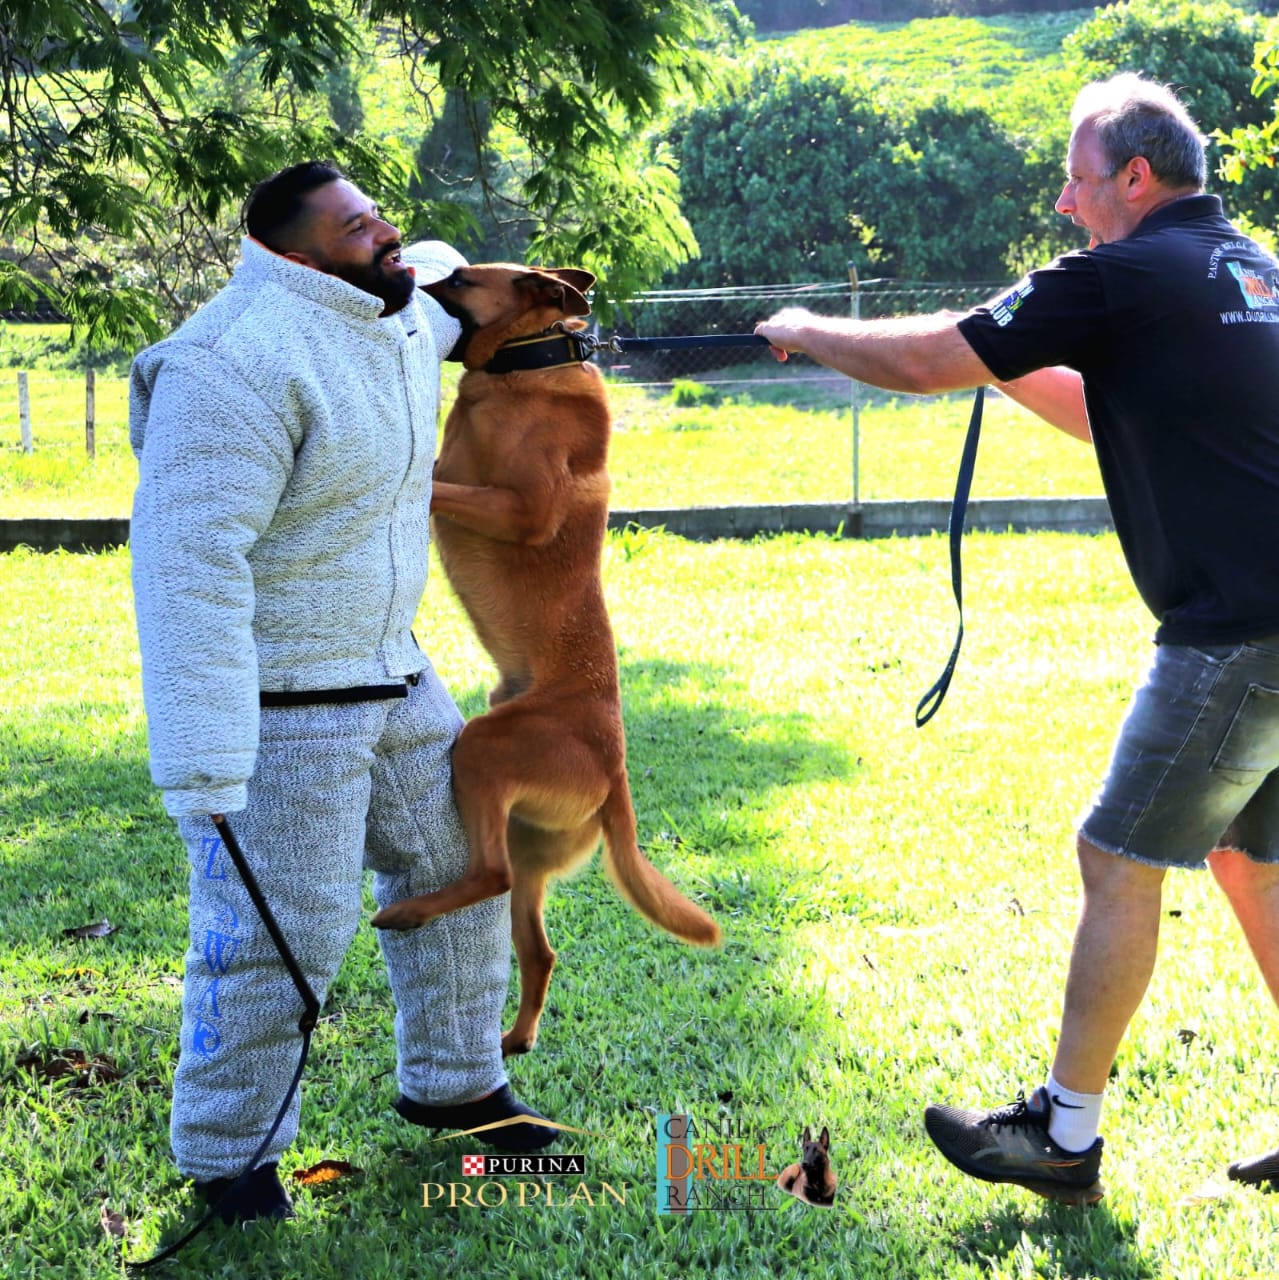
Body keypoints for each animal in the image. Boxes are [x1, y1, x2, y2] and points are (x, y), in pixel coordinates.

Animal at [371, 259, 722, 1049]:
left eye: (461, 279)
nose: (408, 277)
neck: (527, 366)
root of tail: (615, 773)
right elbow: (435, 469)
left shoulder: (522, 505)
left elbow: (435, 481)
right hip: (525, 841)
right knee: (538, 947)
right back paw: (517, 1037)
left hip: (484, 748)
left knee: (494, 879)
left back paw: (408, 912)